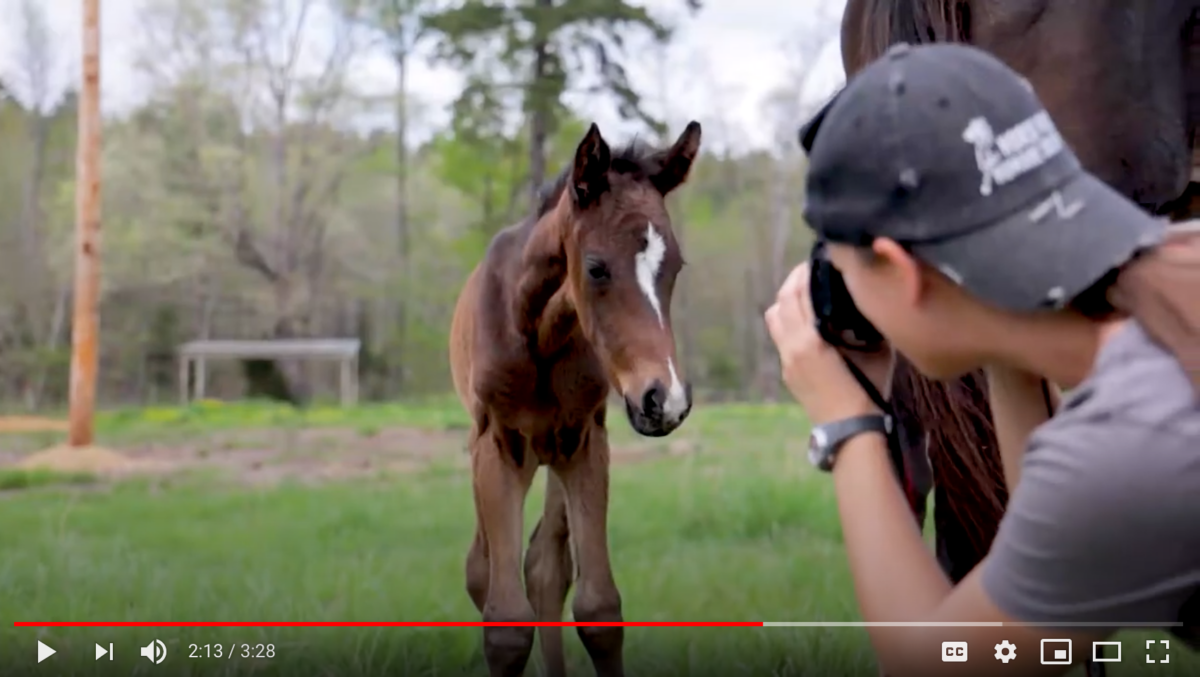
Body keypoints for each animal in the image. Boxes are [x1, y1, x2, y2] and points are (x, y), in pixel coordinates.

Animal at [448, 121, 702, 677]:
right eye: (596, 268)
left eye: (674, 266)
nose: (665, 399)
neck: (540, 336)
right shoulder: (497, 447)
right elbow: (505, 624)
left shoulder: (585, 442)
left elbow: (598, 607)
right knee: (483, 567)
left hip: (553, 456)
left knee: (545, 564)